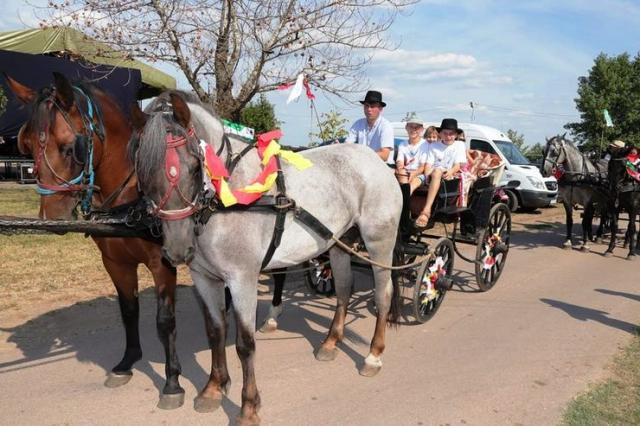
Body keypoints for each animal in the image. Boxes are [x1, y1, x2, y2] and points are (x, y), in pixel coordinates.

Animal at [128, 91, 402, 424]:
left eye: (194, 165)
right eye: (143, 169)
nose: (179, 249)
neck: (226, 195)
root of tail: (376, 160)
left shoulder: (242, 279)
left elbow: (245, 345)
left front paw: (248, 407)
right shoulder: (204, 278)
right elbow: (215, 331)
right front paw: (213, 389)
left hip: (379, 242)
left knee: (383, 294)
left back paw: (373, 356)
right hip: (338, 244)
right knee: (344, 289)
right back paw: (330, 343)